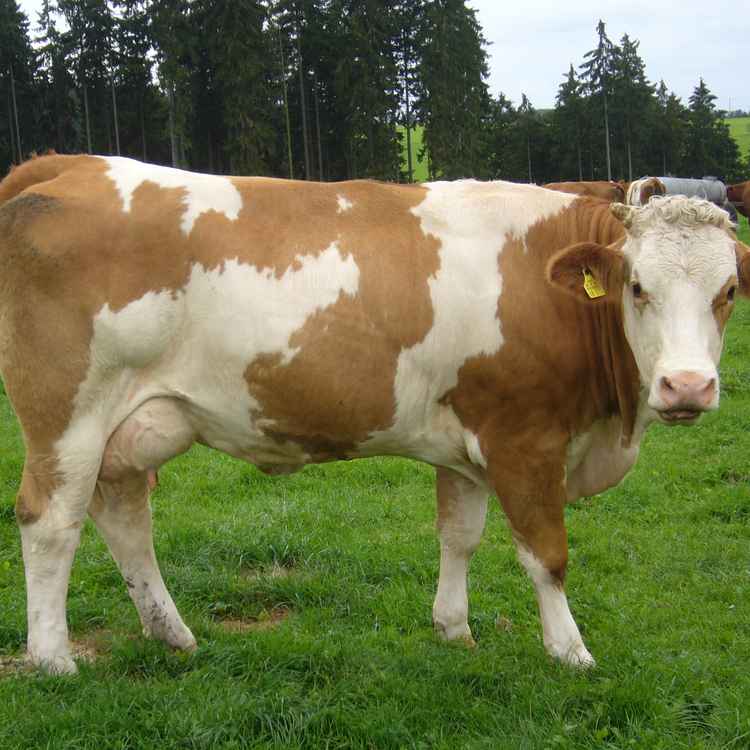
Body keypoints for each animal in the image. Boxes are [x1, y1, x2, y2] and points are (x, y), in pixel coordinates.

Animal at [1, 154, 748, 675]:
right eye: (637, 287)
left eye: (729, 291)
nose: (687, 386)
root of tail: (71, 161)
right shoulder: (525, 438)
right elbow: (546, 554)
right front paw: (570, 652)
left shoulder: (471, 438)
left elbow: (459, 536)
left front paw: (454, 629)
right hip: (67, 418)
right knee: (51, 523)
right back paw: (54, 659)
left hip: (135, 426)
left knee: (125, 519)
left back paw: (171, 633)